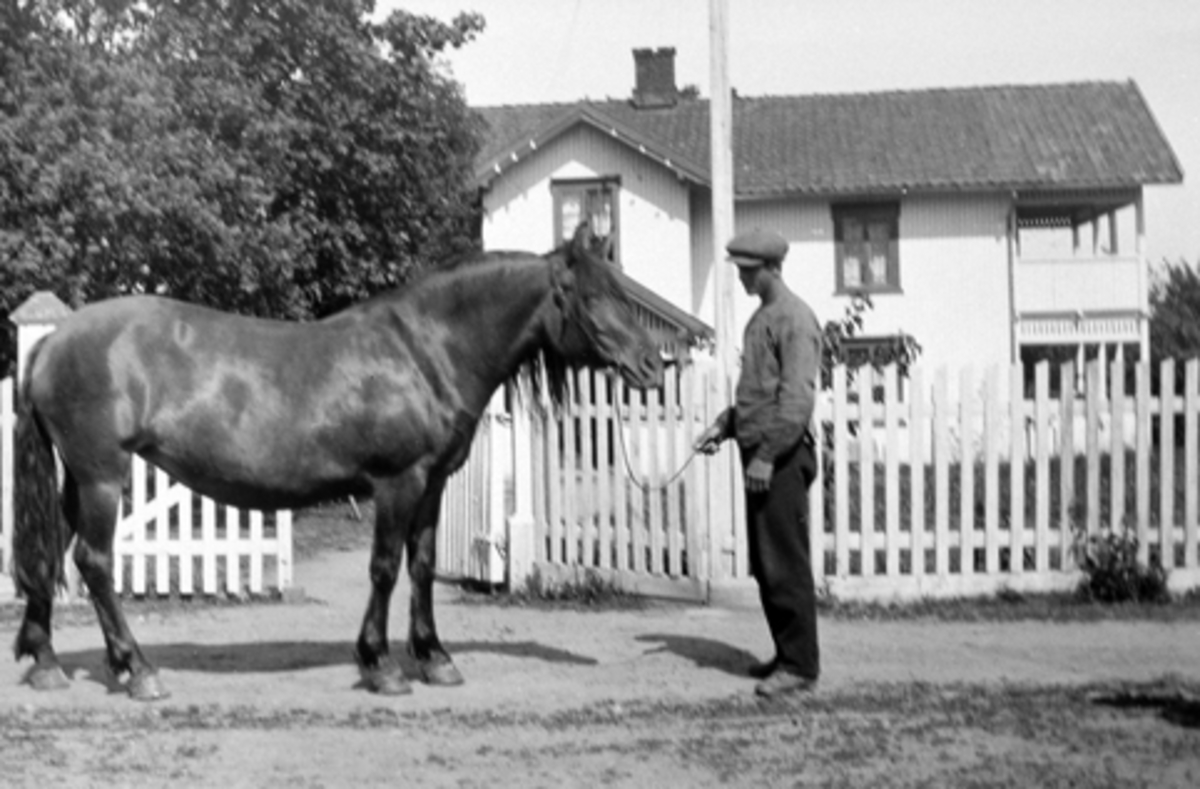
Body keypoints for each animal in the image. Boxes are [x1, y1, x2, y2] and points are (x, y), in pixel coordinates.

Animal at [11, 224, 667, 695]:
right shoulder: (398, 482)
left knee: (52, 554)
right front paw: (381, 665)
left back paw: (46, 662)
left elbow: (422, 566)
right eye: (593, 296)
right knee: (93, 561)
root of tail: (52, 341)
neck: (425, 351)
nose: (654, 364)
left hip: (79, 479)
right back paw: (137, 669)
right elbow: (384, 568)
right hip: (102, 476)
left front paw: (435, 657)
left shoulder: (432, 485)